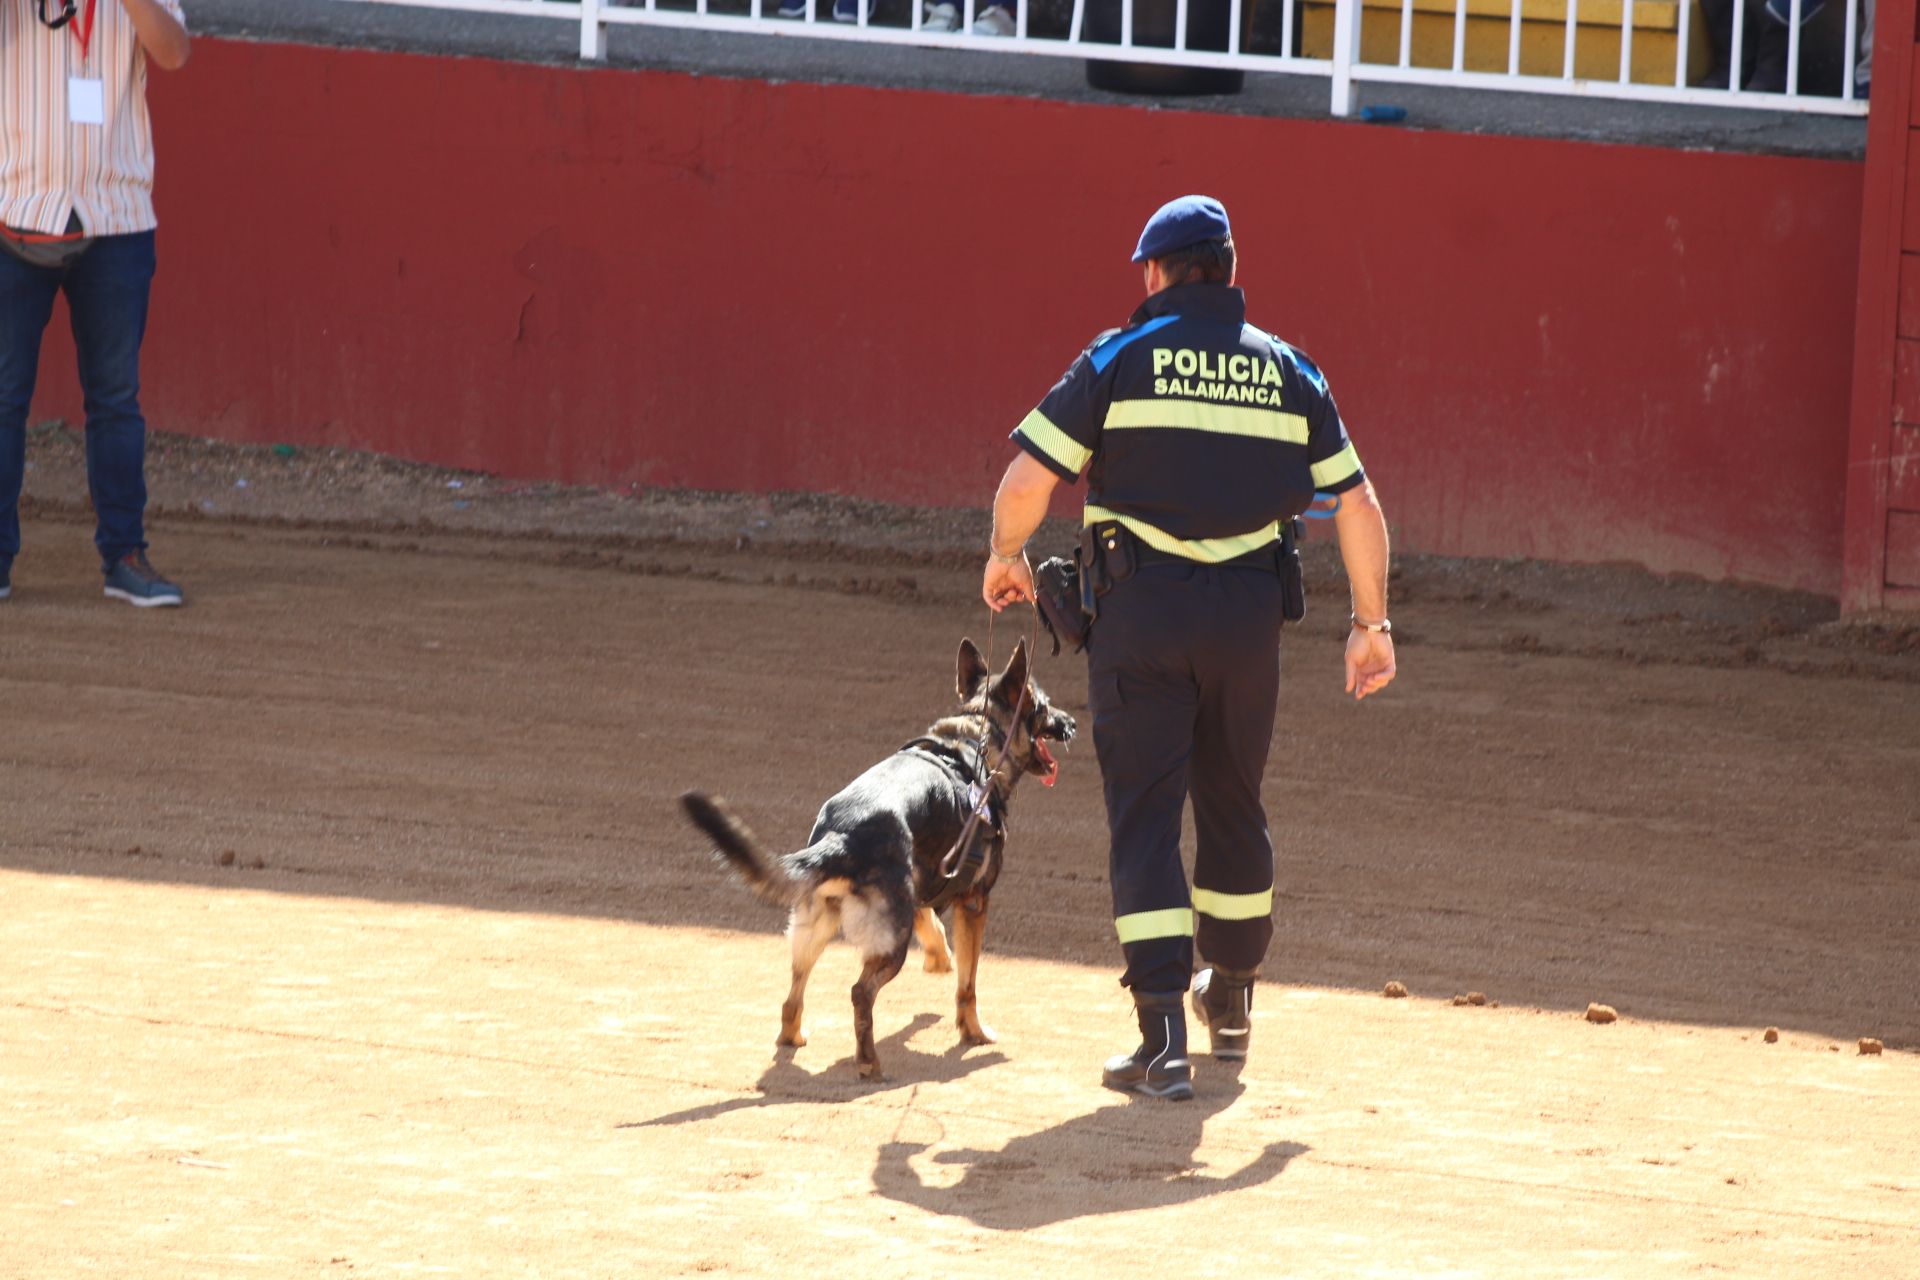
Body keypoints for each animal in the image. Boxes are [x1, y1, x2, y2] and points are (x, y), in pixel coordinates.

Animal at [683, 640, 1075, 1082]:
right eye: (1044, 706)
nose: (1073, 722)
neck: (979, 731)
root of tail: (842, 834)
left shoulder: (921, 884)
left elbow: (932, 924)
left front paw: (938, 958)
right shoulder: (975, 902)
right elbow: (968, 984)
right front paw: (973, 1033)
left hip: (815, 928)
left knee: (794, 988)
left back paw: (793, 1037)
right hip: (889, 947)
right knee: (860, 993)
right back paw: (868, 1062)